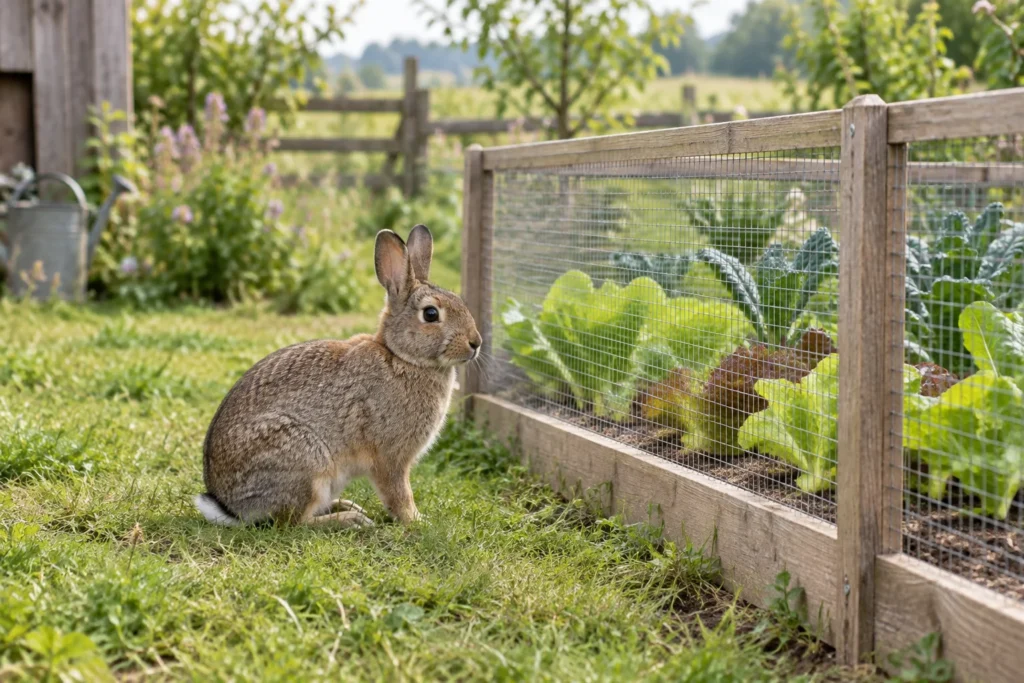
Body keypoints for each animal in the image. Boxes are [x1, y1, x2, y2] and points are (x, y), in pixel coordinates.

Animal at [194, 224, 482, 529]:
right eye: (430, 314)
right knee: (293, 522)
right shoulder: (390, 457)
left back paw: (344, 506)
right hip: (306, 462)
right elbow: (399, 494)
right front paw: (417, 522)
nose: (476, 343)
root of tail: (229, 505)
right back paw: (349, 518)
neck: (401, 357)